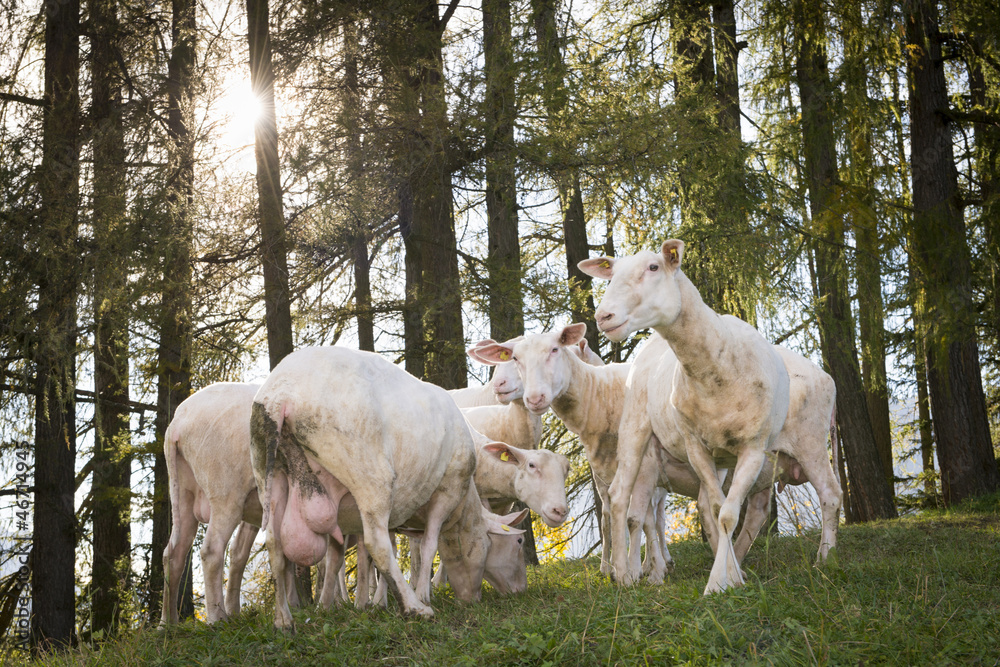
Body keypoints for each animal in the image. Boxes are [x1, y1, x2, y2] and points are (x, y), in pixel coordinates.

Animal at [250, 346, 529, 629]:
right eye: (518, 541)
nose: (519, 591)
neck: (463, 511)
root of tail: (280, 396)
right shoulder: (447, 490)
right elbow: (427, 546)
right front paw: (422, 595)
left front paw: (374, 603)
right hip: (370, 476)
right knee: (377, 544)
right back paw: (414, 608)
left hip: (269, 472)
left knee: (275, 546)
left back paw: (284, 621)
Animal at [579, 240, 793, 594]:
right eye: (613, 272)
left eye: (653, 267)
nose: (603, 316)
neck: (718, 371)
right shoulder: (696, 446)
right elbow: (720, 511)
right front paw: (721, 581)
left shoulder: (753, 447)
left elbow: (725, 514)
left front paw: (728, 576)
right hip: (635, 427)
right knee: (619, 496)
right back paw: (623, 574)